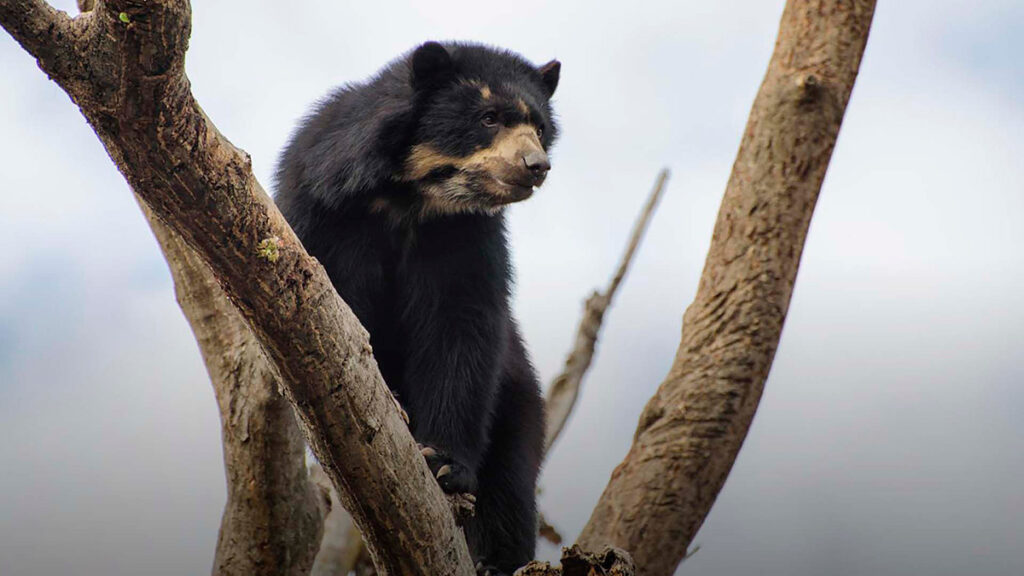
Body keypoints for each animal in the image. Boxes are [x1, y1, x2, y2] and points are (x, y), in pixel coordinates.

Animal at [273, 41, 560, 574]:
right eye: (488, 117)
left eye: (540, 126)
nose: (536, 165)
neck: (412, 197)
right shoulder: (324, 214)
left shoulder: (464, 235)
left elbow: (461, 330)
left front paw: (444, 463)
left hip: (519, 398)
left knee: (511, 482)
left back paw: (498, 560)